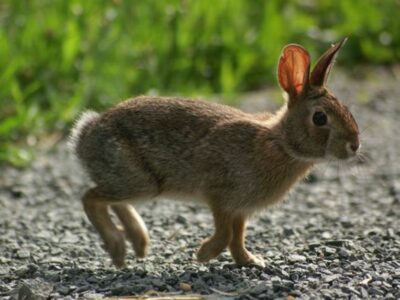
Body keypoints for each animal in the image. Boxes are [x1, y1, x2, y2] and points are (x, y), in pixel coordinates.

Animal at [69, 38, 360, 268]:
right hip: (140, 181)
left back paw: (139, 243)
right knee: (90, 198)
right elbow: (225, 235)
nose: (355, 145)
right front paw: (203, 255)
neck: (281, 143)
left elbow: (238, 238)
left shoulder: (240, 209)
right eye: (320, 118)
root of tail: (84, 135)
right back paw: (119, 249)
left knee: (111, 200)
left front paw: (250, 261)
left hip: (136, 184)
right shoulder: (219, 195)